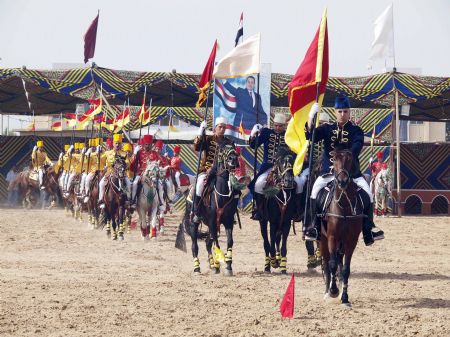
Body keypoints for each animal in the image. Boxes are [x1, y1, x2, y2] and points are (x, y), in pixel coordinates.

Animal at [185, 143, 241, 274]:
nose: (233, 159)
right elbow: (216, 242)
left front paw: (228, 265)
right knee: (195, 245)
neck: (222, 194)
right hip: (193, 223)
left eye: (233, 148)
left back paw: (212, 263)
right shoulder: (212, 221)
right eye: (222, 150)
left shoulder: (227, 221)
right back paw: (197, 268)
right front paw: (218, 263)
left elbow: (229, 241)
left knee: (207, 243)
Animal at [320, 148, 366, 308]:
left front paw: (344, 297)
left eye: (350, 160)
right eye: (334, 160)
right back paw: (327, 291)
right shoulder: (332, 238)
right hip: (322, 239)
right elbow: (332, 265)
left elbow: (345, 269)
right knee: (327, 263)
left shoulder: (351, 240)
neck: (344, 205)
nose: (342, 181)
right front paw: (333, 291)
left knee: (339, 262)